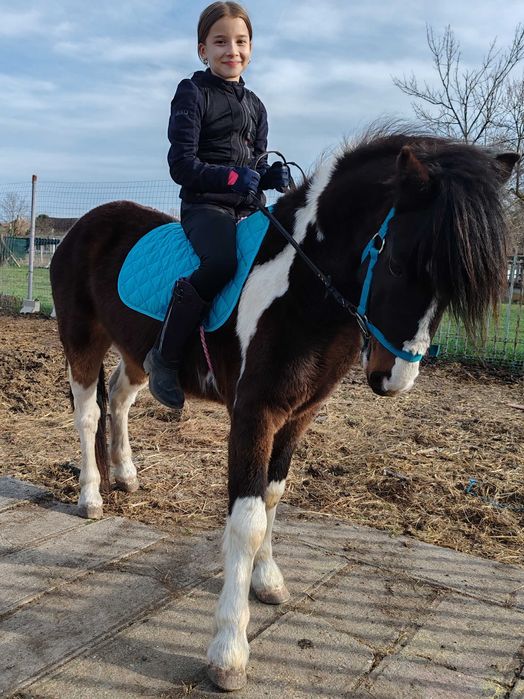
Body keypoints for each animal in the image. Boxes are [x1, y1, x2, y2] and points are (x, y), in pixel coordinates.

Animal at [50, 132, 517, 691]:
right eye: (398, 264)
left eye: (449, 288)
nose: (392, 379)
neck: (303, 285)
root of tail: (85, 224)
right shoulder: (256, 413)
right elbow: (249, 520)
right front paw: (229, 651)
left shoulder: (299, 414)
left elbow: (273, 497)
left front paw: (267, 580)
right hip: (82, 342)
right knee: (87, 416)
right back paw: (91, 496)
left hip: (139, 354)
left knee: (119, 399)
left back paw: (125, 474)